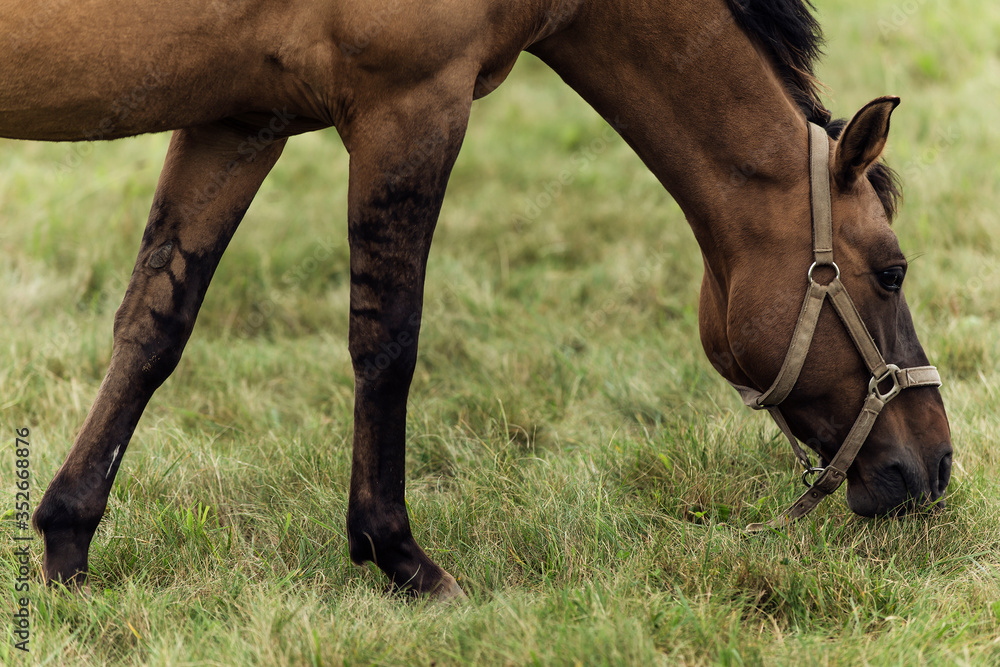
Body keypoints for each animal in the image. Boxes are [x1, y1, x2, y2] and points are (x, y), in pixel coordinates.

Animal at [5, 0, 952, 600]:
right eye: (893, 271)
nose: (937, 465)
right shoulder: (411, 103)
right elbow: (387, 340)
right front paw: (399, 555)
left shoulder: (239, 119)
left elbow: (152, 325)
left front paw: (67, 542)